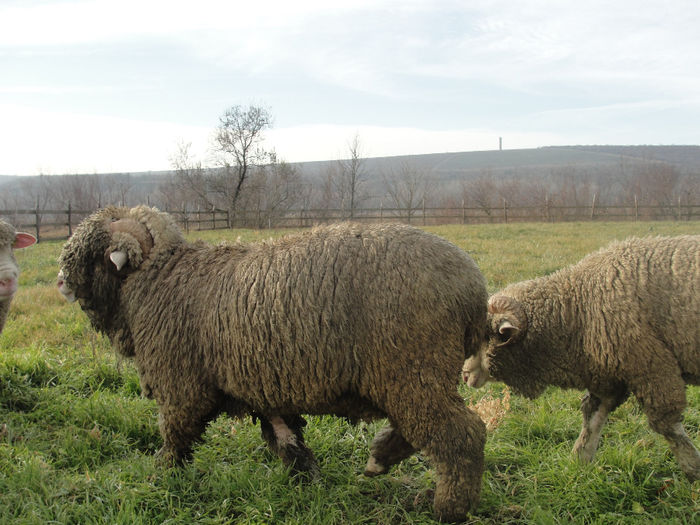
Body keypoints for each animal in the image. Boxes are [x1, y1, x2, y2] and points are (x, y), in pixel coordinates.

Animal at [57, 206, 490, 520]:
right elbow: (285, 437)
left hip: (411, 367)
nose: (60, 281)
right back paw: (381, 458)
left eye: (92, 254)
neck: (160, 278)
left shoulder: (182, 385)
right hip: (410, 375)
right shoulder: (262, 386)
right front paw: (306, 481)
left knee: (459, 433)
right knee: (422, 427)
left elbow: (175, 434)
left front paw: (162, 476)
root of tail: (474, 289)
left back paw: (448, 508)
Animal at [464, 235, 700, 482]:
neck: (578, 308)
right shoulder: (610, 375)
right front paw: (580, 460)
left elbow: (667, 425)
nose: (465, 375)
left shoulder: (652, 367)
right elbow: (593, 416)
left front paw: (693, 469)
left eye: (486, 336)